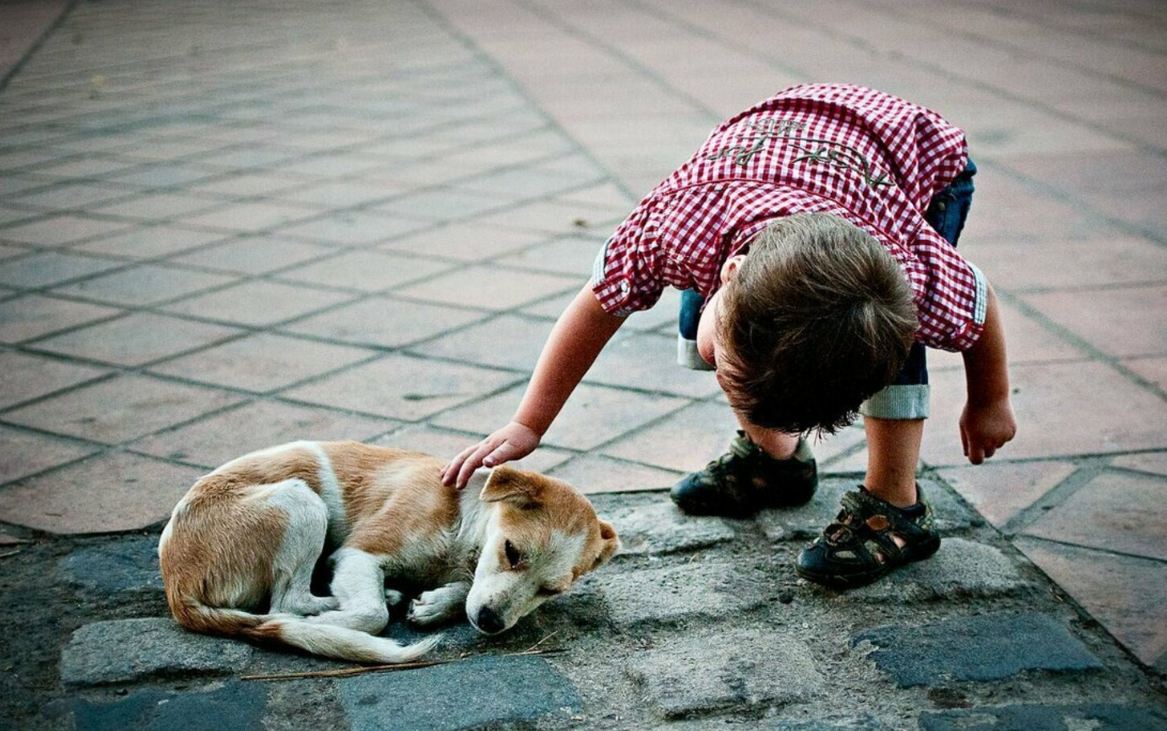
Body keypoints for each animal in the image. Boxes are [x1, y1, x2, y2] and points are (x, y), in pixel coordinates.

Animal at [162, 439, 630, 658]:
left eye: (550, 590)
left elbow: (465, 587)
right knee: (284, 605)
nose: (491, 623)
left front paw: (436, 603)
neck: (461, 521)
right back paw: (327, 615)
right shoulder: (359, 552)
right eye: (512, 551)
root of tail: (175, 583)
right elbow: (373, 616)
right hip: (300, 502)